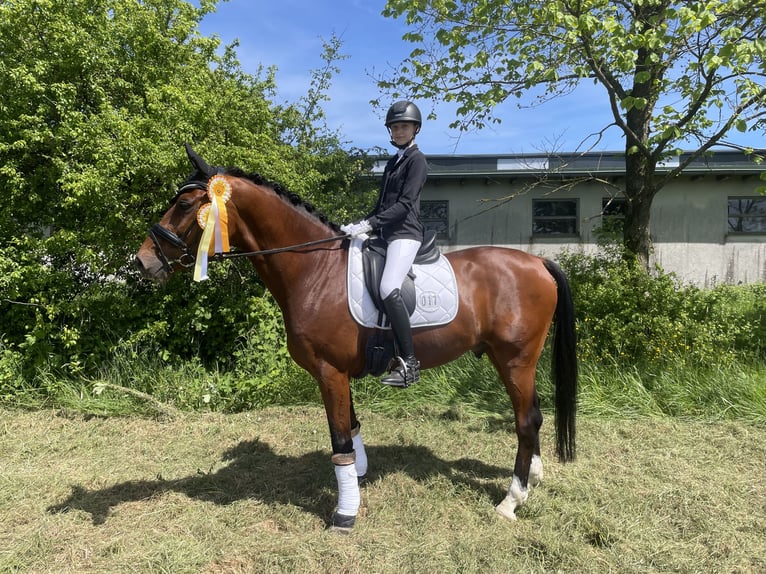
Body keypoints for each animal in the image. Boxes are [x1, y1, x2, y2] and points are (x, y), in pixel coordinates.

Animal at [135, 146, 580, 532]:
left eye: (186, 205)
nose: (143, 262)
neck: (314, 269)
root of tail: (537, 260)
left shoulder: (328, 371)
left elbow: (339, 440)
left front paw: (344, 514)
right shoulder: (337, 373)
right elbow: (351, 427)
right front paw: (360, 478)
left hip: (515, 359)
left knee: (527, 420)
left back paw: (511, 501)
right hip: (515, 360)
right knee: (533, 416)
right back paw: (533, 478)